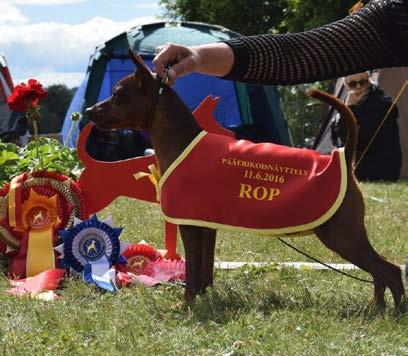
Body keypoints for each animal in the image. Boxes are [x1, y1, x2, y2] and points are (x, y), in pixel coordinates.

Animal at [86, 50, 404, 308]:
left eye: (117, 93)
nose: (89, 110)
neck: (181, 140)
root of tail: (343, 156)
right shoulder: (205, 227)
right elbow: (204, 270)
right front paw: (203, 296)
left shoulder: (189, 226)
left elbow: (192, 271)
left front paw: (185, 303)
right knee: (380, 272)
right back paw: (376, 307)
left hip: (341, 236)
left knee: (389, 270)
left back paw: (395, 312)